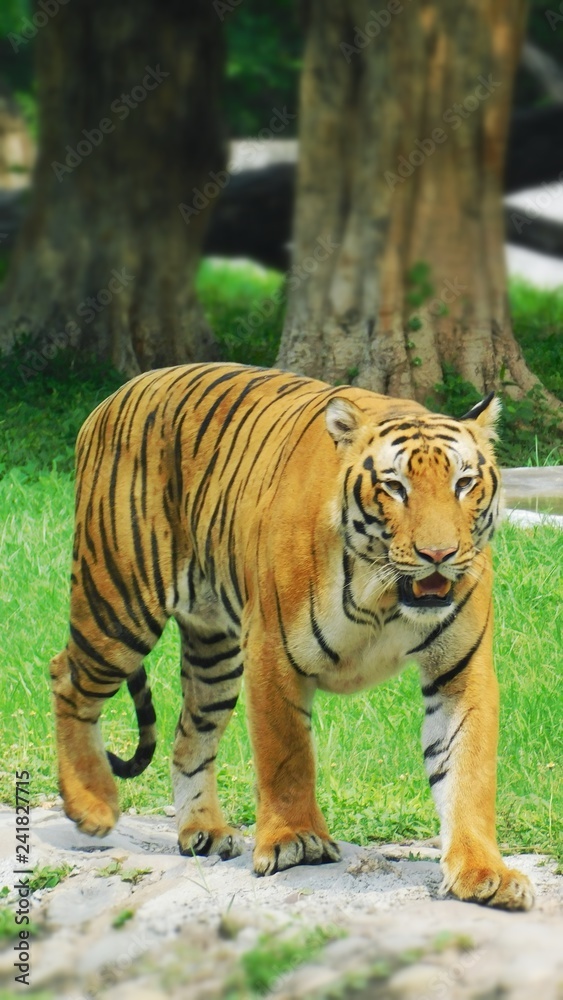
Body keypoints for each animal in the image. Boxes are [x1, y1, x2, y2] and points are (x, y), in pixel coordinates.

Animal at [50, 362, 534, 910]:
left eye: (464, 483)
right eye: (394, 487)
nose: (439, 554)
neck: (383, 596)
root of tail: (117, 394)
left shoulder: (460, 671)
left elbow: (466, 770)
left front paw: (483, 871)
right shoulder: (273, 654)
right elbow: (286, 754)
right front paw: (293, 841)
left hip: (214, 654)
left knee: (189, 734)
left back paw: (203, 831)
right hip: (118, 602)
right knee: (67, 678)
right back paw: (91, 806)